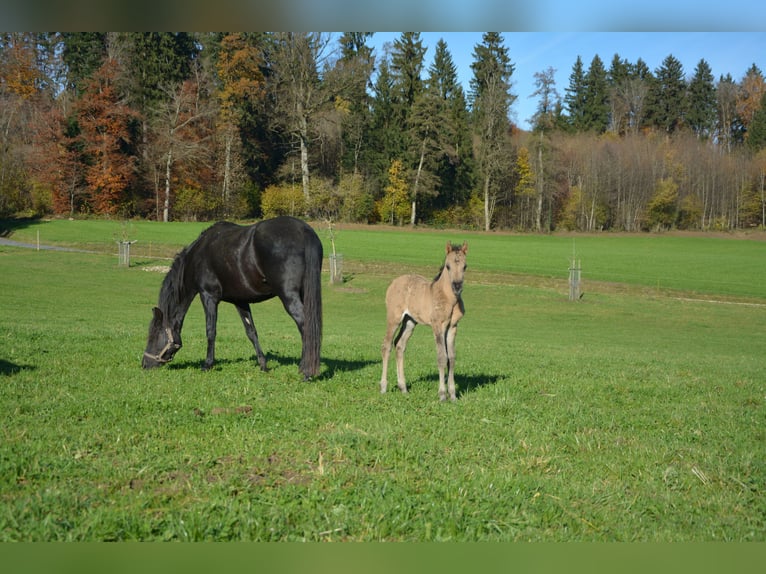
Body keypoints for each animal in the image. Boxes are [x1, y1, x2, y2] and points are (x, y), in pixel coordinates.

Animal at [142, 216, 323, 380]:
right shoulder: (240, 301)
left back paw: (306, 372)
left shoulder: (208, 296)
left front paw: (208, 364)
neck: (197, 257)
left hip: (288, 296)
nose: (144, 364)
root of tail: (303, 230)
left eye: (154, 335)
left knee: (305, 326)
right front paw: (263, 365)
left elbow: (211, 330)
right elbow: (251, 332)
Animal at [380, 241, 468, 402]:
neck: (448, 299)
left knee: (399, 345)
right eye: (448, 266)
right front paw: (442, 395)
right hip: (394, 318)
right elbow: (442, 357)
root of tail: (394, 282)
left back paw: (403, 388)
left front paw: (453, 395)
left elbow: (451, 358)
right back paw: (383, 387)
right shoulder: (438, 326)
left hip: (410, 321)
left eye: (465, 266)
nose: (457, 286)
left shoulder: (452, 327)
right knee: (386, 346)